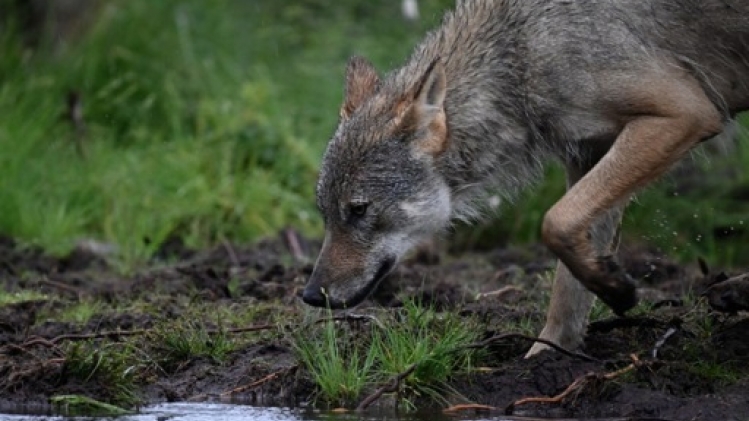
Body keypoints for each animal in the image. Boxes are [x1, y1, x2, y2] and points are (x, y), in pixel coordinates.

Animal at [302, 0, 749, 357]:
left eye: (358, 210)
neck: (522, 53)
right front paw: (546, 358)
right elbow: (567, 285)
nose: (309, 295)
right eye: (326, 214)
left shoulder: (685, 114)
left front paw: (617, 291)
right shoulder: (590, 155)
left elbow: (555, 222)